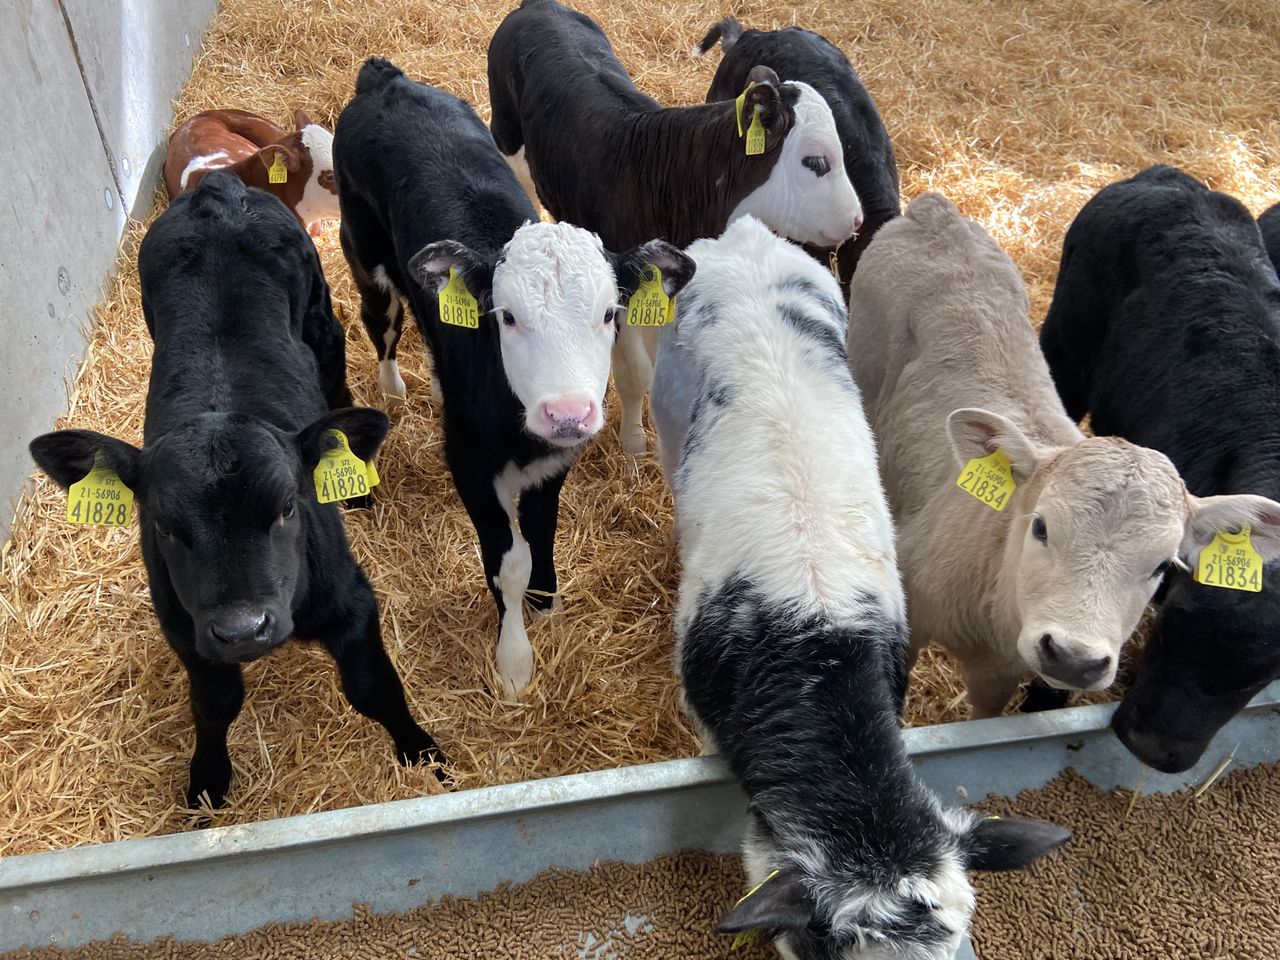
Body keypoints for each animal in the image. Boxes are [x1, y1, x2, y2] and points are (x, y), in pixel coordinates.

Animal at [29, 173, 444, 809]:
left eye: (288, 506)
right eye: (164, 526)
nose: (245, 628)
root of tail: (216, 188)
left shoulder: (350, 596)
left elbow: (373, 686)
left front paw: (422, 753)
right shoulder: (186, 628)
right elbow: (214, 704)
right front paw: (207, 780)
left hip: (320, 315)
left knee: (335, 366)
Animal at [334, 58, 694, 696]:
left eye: (610, 313)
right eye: (507, 316)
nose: (568, 412)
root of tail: (386, 80)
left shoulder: (555, 461)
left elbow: (542, 532)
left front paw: (546, 604)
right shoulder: (471, 467)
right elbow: (508, 561)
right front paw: (515, 659)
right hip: (367, 262)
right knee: (382, 323)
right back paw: (395, 387)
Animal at [488, 0, 862, 458]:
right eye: (816, 161)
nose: (856, 219)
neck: (666, 179)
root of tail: (536, 7)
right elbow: (635, 373)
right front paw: (634, 441)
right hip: (506, 135)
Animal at [846, 192, 1277, 719]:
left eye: (1162, 567)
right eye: (1040, 527)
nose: (1074, 658)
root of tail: (935, 211)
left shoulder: (1002, 670)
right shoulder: (911, 618)